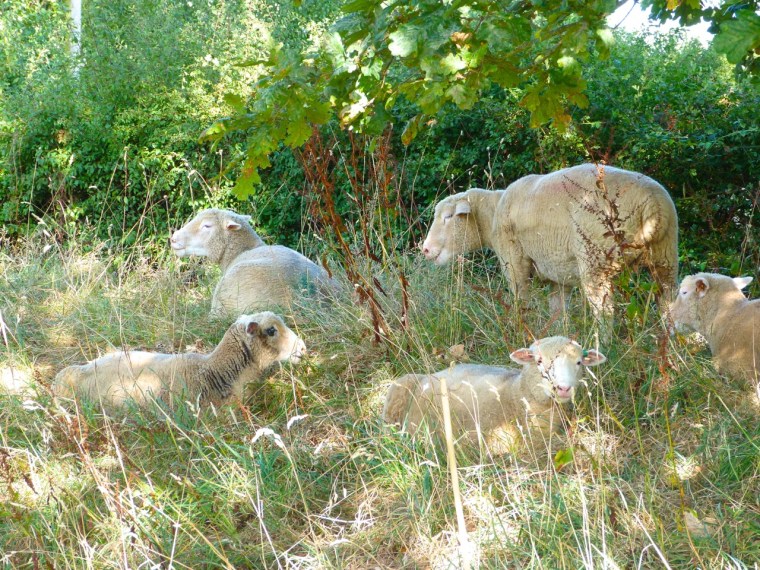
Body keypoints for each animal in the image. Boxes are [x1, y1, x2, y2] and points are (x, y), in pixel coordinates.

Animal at [382, 336, 606, 446]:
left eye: (579, 362)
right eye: (539, 361)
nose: (563, 388)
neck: (517, 394)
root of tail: (428, 376)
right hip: (400, 388)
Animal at [421, 163, 678, 319]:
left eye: (448, 217)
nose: (424, 249)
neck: (492, 212)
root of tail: (653, 204)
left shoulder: (514, 262)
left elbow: (521, 301)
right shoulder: (558, 277)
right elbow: (558, 312)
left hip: (596, 262)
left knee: (605, 312)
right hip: (666, 257)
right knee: (669, 305)